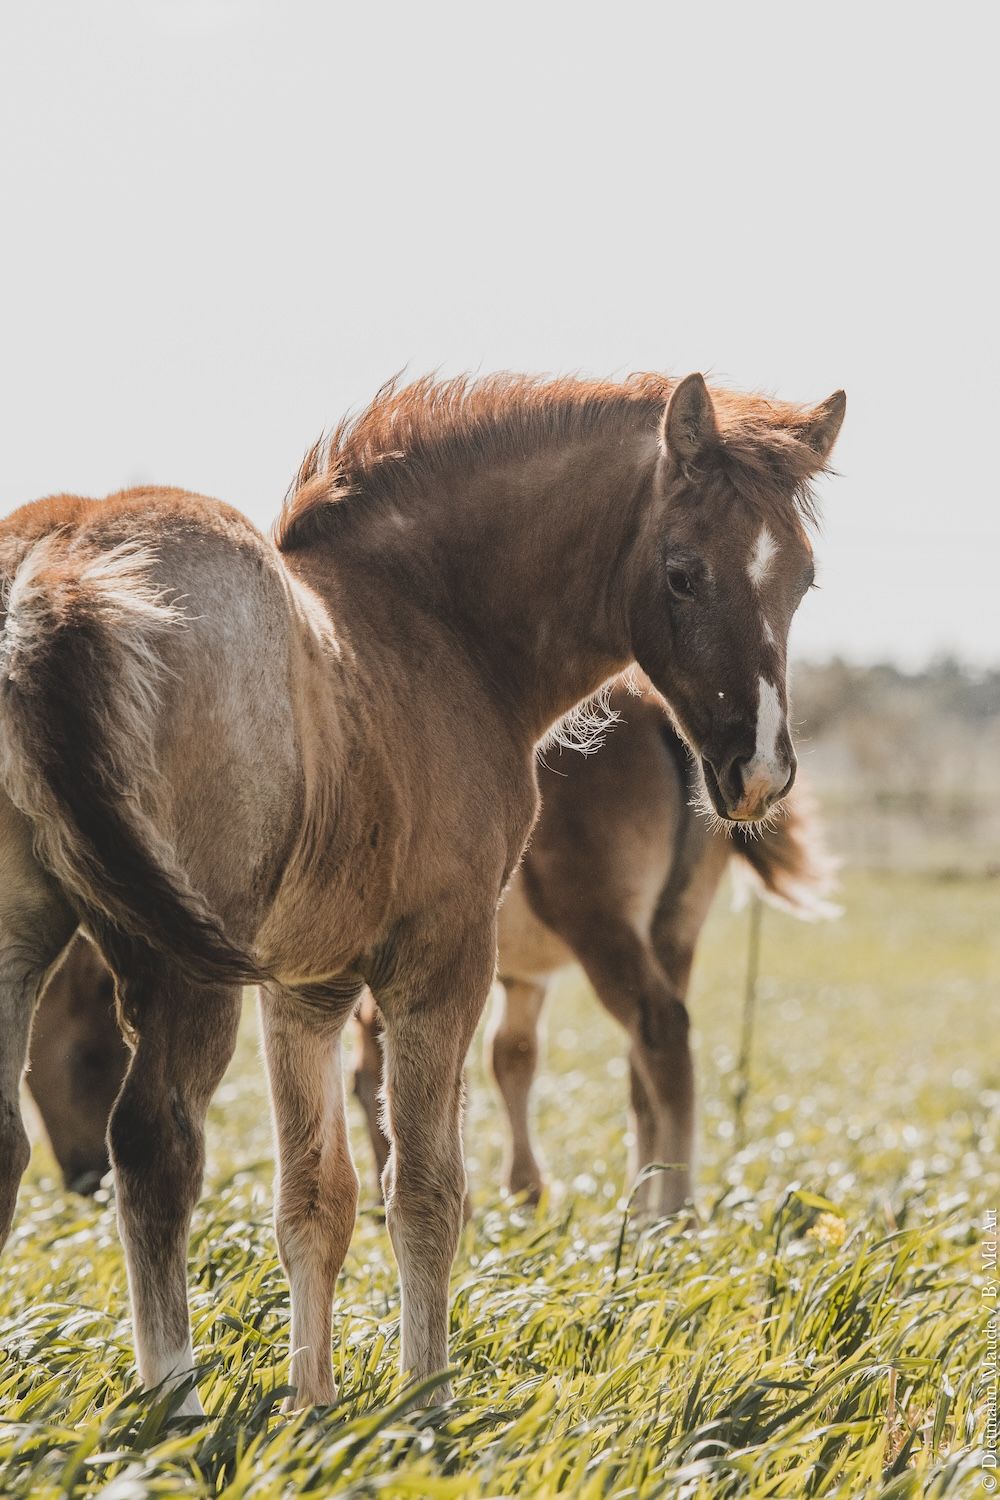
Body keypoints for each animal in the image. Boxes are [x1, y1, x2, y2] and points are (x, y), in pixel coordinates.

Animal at [0, 369, 845, 1410]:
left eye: (802, 578)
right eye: (684, 572)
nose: (758, 772)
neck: (435, 627)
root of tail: (54, 572)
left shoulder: (307, 991)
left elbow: (318, 1201)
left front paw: (315, 1406)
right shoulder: (443, 962)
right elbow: (428, 1189)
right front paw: (424, 1402)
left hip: (28, 943)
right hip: (188, 968)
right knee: (158, 1147)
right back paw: (175, 1407)